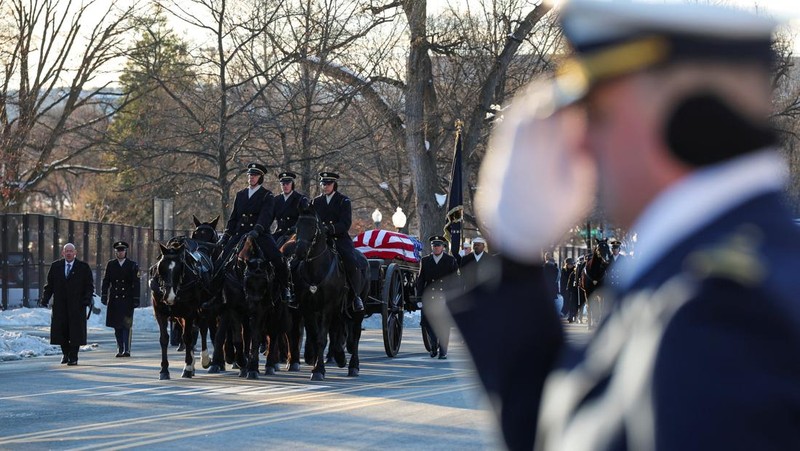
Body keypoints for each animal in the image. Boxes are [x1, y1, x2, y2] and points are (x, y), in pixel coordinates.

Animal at [286, 207, 370, 380]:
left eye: (313, 227)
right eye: (297, 226)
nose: (299, 252)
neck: (316, 269)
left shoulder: (327, 307)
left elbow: (321, 338)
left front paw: (318, 370)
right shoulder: (307, 308)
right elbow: (314, 334)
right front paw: (314, 361)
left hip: (358, 309)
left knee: (355, 335)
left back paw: (353, 366)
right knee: (339, 330)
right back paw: (339, 356)